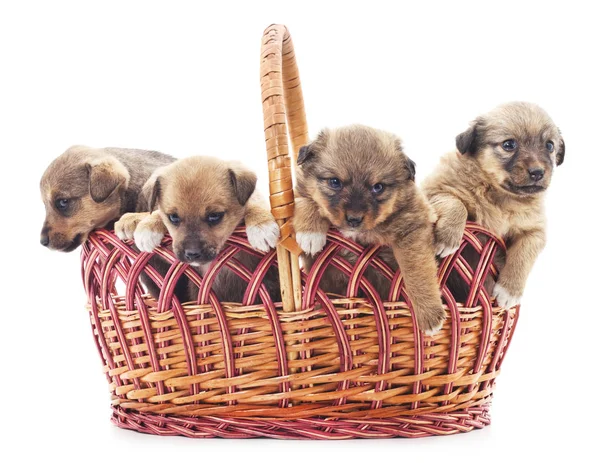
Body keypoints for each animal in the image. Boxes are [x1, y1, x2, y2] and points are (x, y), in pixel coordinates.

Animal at [115, 157, 282, 304]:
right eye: (173, 217)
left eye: (214, 216)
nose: (192, 254)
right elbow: (157, 213)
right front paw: (143, 224)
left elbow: (252, 205)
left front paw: (261, 225)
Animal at [292, 125, 448, 336]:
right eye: (335, 182)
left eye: (378, 187)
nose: (354, 219)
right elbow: (306, 200)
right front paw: (311, 233)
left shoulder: (413, 227)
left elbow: (417, 272)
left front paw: (430, 314)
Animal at [420, 103, 564, 310]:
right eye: (509, 144)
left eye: (550, 145)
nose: (537, 172)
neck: (501, 197)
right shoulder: (433, 189)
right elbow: (456, 203)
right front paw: (447, 238)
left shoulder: (535, 230)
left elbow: (524, 254)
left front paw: (509, 291)